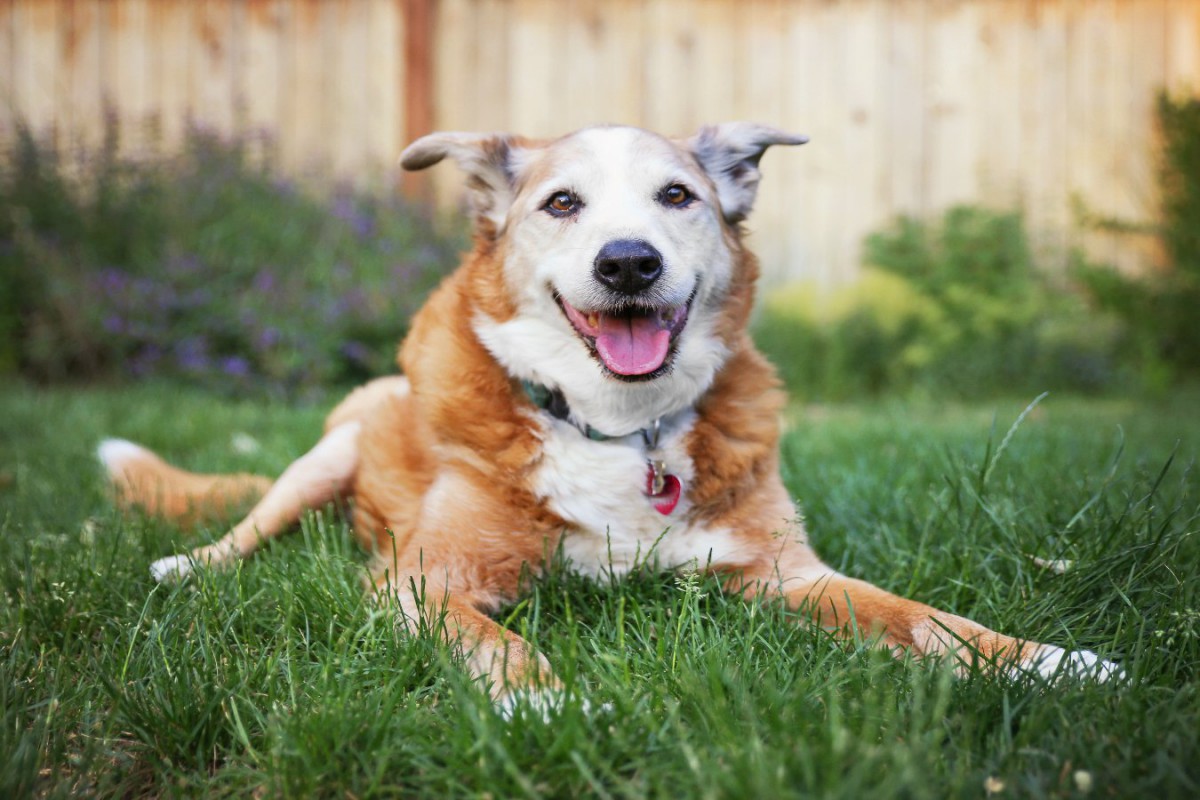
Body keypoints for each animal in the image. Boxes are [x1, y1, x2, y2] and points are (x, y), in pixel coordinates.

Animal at [98, 123, 1118, 714]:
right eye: (562, 203)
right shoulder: (423, 584)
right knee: (249, 524)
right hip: (328, 454)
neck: (623, 428)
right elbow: (494, 640)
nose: (628, 262)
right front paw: (546, 704)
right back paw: (187, 565)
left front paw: (1048, 661)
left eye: (677, 197)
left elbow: (925, 620)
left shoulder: (785, 576)